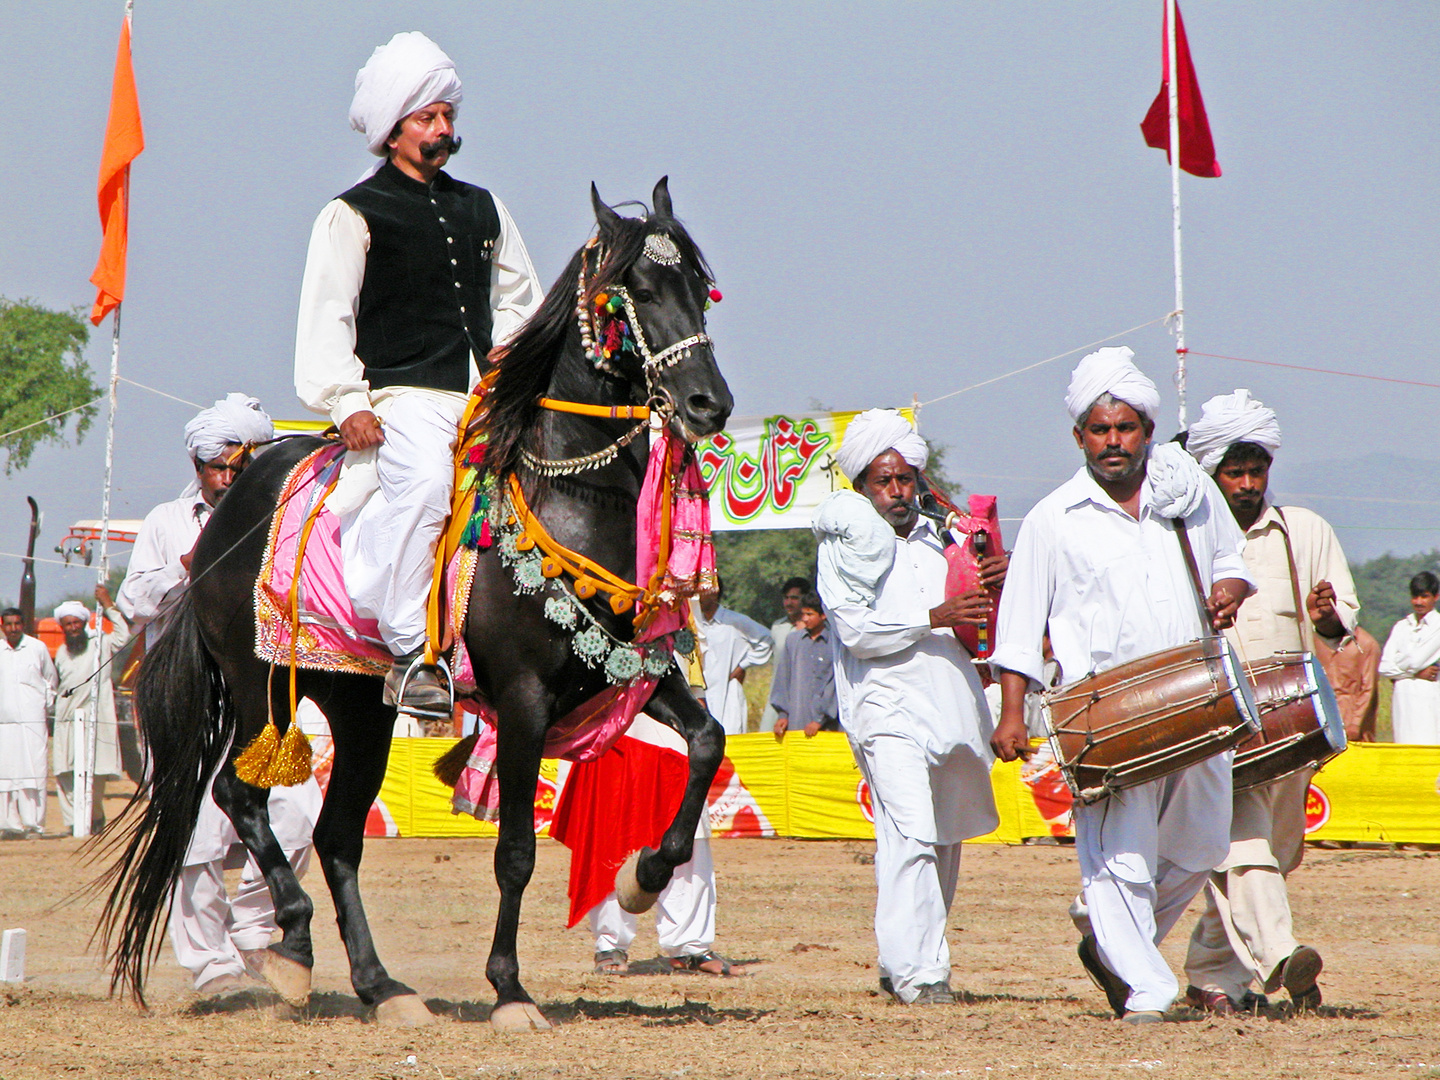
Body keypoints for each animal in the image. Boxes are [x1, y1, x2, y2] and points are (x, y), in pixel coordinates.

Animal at [101, 182, 731, 1036]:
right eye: (636, 291)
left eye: (698, 287)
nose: (709, 403)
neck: (568, 495)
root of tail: (228, 512)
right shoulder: (526, 701)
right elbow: (515, 853)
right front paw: (510, 989)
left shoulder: (626, 669)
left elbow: (708, 741)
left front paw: (643, 875)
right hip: (261, 685)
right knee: (239, 794)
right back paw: (294, 945)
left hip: (362, 709)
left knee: (337, 837)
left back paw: (381, 985)